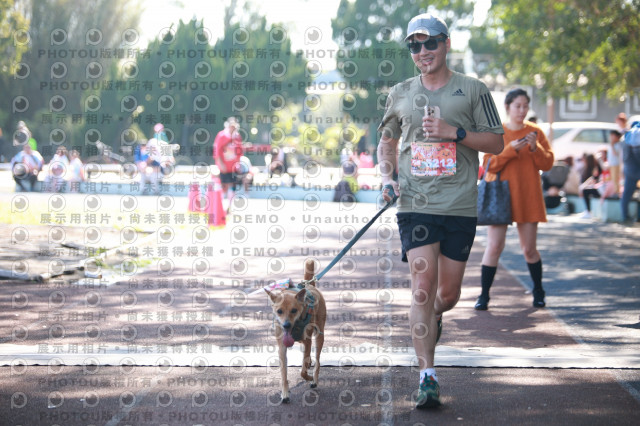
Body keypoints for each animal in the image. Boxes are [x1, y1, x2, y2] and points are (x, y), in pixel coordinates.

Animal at [265, 259, 326, 403]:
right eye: (279, 311)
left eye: (294, 310)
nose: (286, 325)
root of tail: (310, 285)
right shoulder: (282, 347)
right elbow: (283, 373)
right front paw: (285, 394)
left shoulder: (308, 341)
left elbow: (303, 371)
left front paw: (308, 377)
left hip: (319, 335)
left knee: (317, 361)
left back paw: (314, 379)